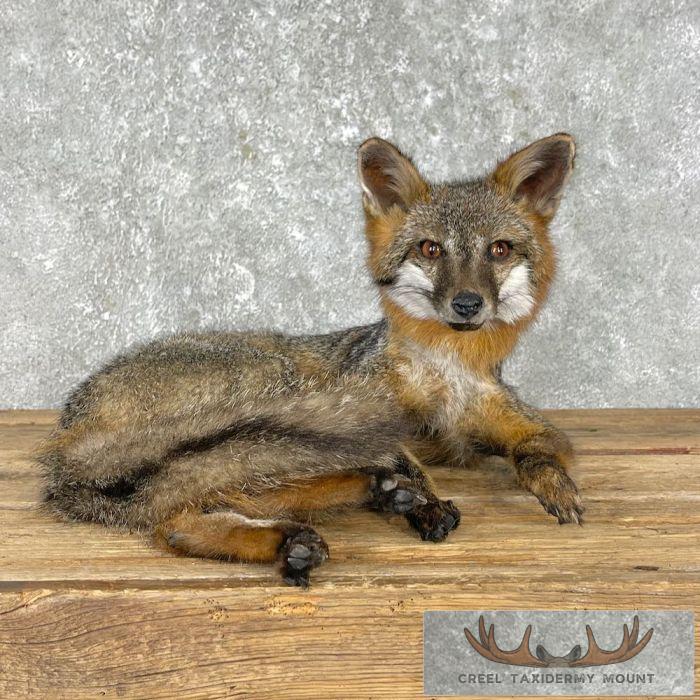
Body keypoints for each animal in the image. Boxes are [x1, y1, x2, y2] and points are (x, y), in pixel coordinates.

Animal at [39, 133, 583, 587]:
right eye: (431, 249)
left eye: (499, 250)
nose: (468, 304)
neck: (446, 376)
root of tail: (70, 427)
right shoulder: (374, 411)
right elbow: (406, 459)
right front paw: (426, 504)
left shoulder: (513, 422)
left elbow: (538, 449)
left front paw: (554, 484)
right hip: (278, 392)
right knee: (187, 504)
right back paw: (364, 498)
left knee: (178, 518)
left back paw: (306, 532)